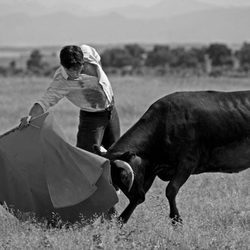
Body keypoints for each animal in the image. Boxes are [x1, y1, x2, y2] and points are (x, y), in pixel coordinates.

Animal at [95, 91, 250, 224]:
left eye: (124, 176)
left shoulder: (187, 163)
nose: (137, 195)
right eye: (113, 180)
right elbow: (137, 200)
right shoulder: (150, 169)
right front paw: (120, 221)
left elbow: (171, 190)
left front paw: (176, 220)